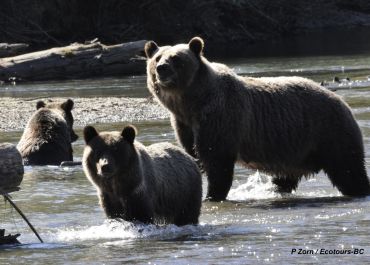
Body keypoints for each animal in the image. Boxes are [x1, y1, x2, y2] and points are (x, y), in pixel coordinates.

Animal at [145, 35, 370, 200]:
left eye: (176, 58)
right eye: (157, 57)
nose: (162, 68)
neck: (192, 102)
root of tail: (342, 102)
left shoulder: (220, 117)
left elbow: (216, 160)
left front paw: (212, 195)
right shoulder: (184, 124)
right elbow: (194, 153)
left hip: (328, 131)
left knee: (348, 169)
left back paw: (360, 190)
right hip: (294, 149)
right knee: (286, 177)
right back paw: (274, 189)